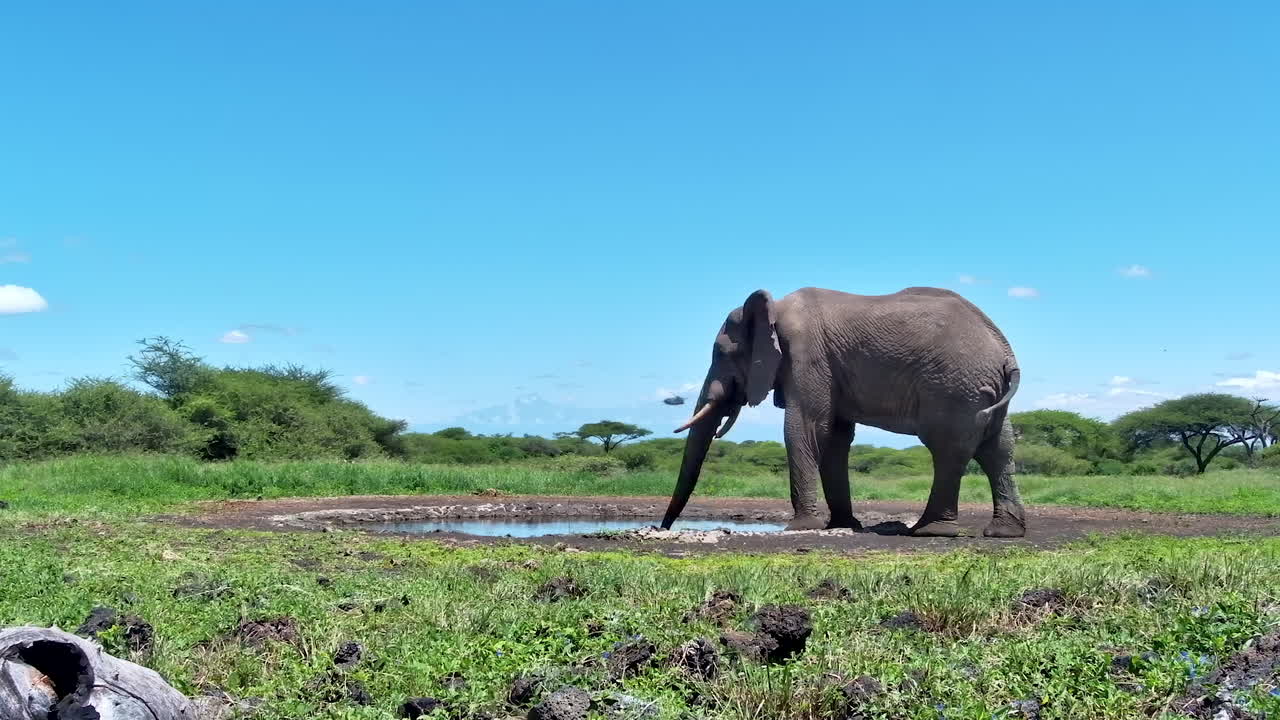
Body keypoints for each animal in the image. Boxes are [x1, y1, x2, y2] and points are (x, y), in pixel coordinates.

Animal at [660, 286, 1025, 538]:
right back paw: (1003, 533)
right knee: (998, 449)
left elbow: (805, 427)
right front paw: (843, 524)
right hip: (981, 390)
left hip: (953, 386)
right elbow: (835, 437)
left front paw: (800, 528)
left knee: (948, 449)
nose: (662, 528)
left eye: (721, 353)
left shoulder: (807, 357)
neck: (775, 309)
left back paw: (929, 531)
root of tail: (1005, 353)